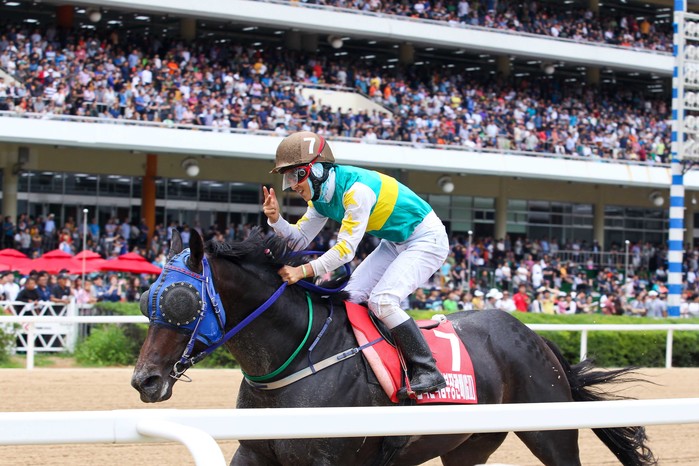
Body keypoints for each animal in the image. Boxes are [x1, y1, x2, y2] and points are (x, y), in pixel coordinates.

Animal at [131, 227, 657, 466]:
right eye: (146, 298)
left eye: (181, 301)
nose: (144, 380)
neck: (295, 359)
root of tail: (530, 334)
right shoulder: (256, 453)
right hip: (467, 446)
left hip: (551, 431)